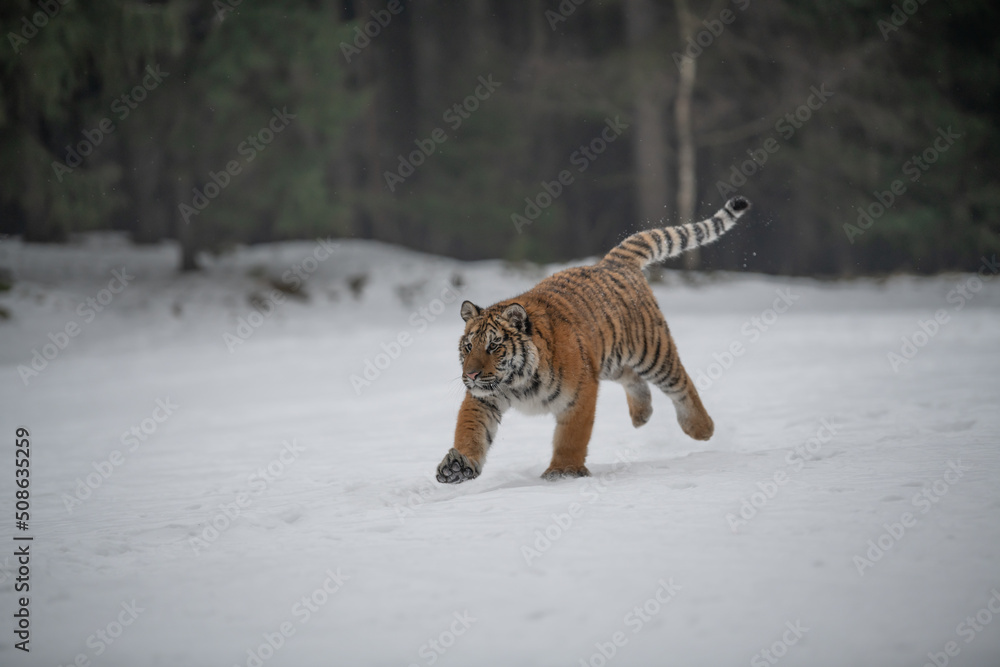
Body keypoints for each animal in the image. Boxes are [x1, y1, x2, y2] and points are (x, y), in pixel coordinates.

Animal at [436, 196, 751, 484]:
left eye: (494, 345)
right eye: (468, 347)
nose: (471, 375)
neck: (518, 383)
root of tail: (611, 262)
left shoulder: (580, 393)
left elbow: (571, 435)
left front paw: (562, 472)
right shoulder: (483, 398)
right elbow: (471, 430)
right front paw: (458, 465)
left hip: (651, 352)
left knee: (681, 382)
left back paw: (702, 428)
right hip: (609, 358)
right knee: (632, 377)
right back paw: (642, 414)